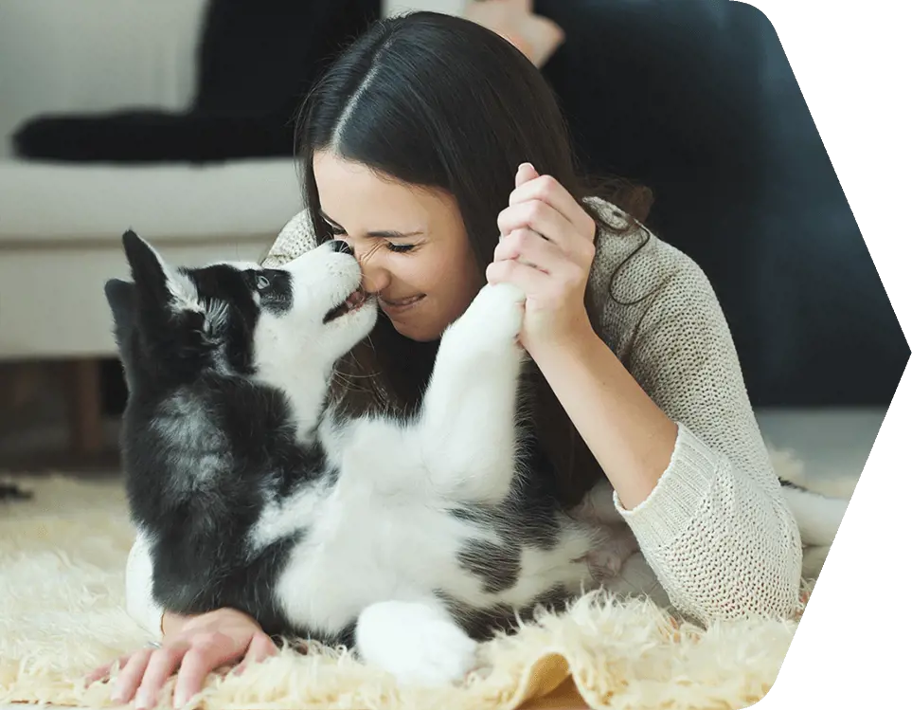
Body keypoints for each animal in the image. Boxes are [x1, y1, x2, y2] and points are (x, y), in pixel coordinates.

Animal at [108, 231, 620, 688]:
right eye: (265, 283)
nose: (342, 243)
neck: (282, 478)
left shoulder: (450, 472)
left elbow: (460, 343)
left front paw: (524, 250)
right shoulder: (310, 611)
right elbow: (369, 617)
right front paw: (434, 652)